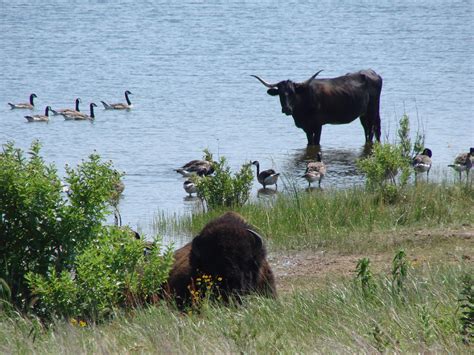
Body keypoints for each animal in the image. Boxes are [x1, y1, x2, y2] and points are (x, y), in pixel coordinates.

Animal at [252, 69, 382, 147]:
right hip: (363, 114)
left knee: (372, 130)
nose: (287, 109)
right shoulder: (306, 127)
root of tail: (372, 72)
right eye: (280, 94)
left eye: (293, 92)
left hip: (372, 110)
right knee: (367, 130)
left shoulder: (318, 125)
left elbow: (316, 142)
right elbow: (310, 142)